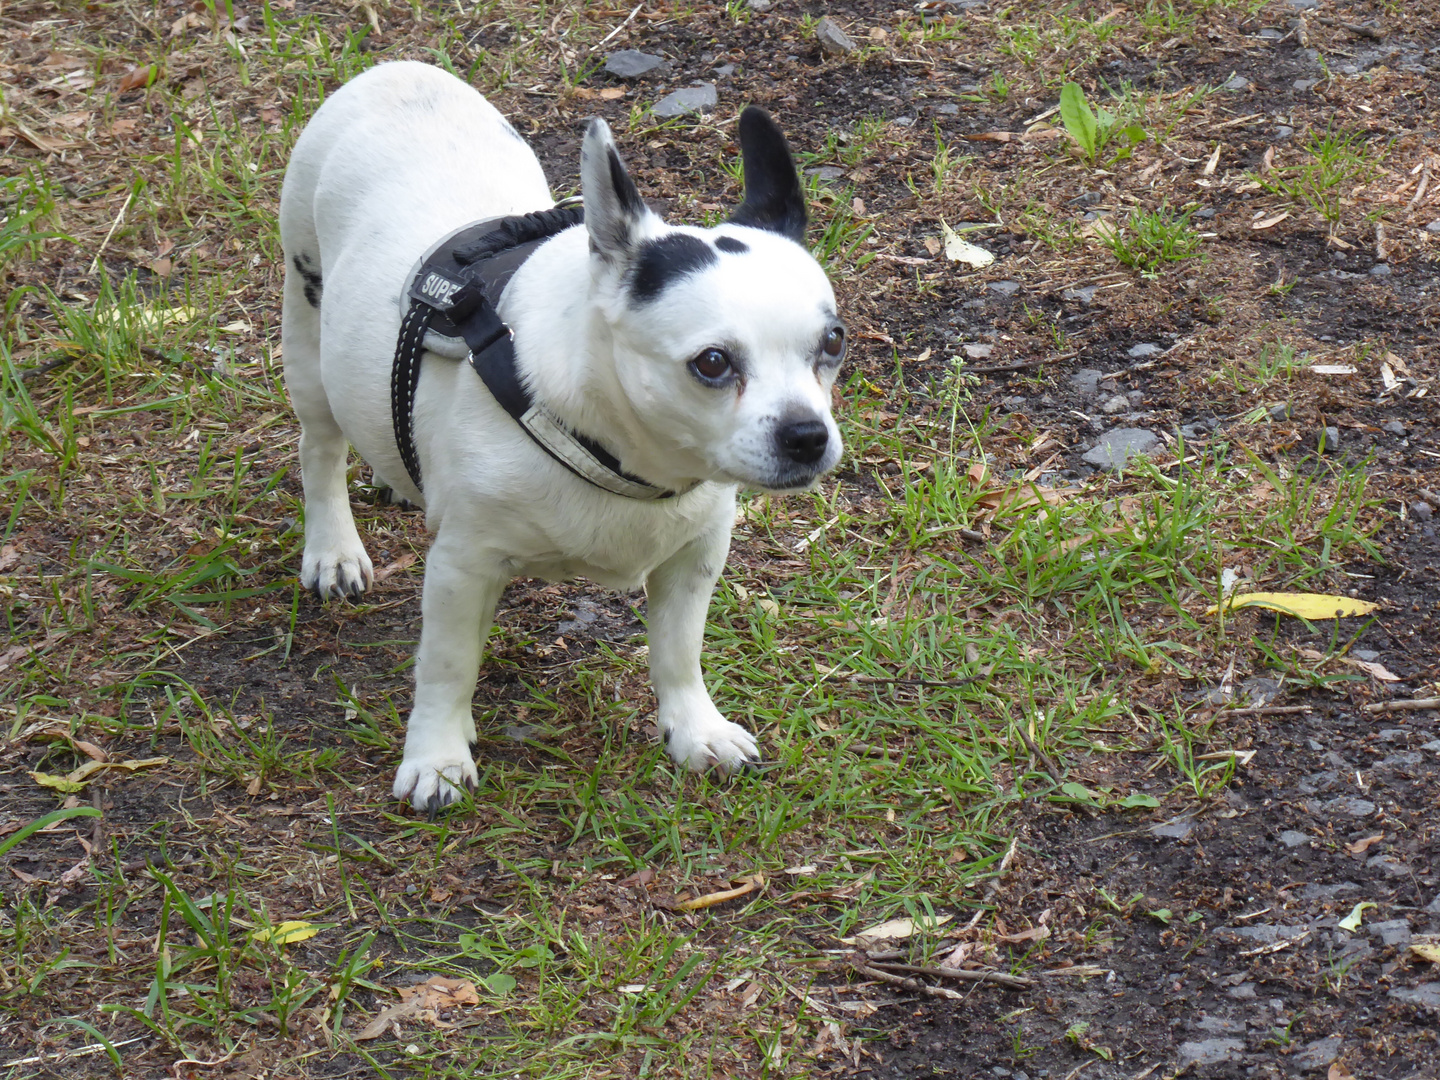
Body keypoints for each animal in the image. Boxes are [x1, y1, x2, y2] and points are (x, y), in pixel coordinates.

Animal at [276, 63, 846, 812]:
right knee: (320, 448)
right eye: (713, 363)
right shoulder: (461, 566)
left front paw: (695, 729)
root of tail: (392, 72)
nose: (807, 433)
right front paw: (436, 757)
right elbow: (447, 666)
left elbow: (678, 651)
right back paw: (333, 548)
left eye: (833, 343)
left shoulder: (694, 556)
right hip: (308, 336)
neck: (623, 451)